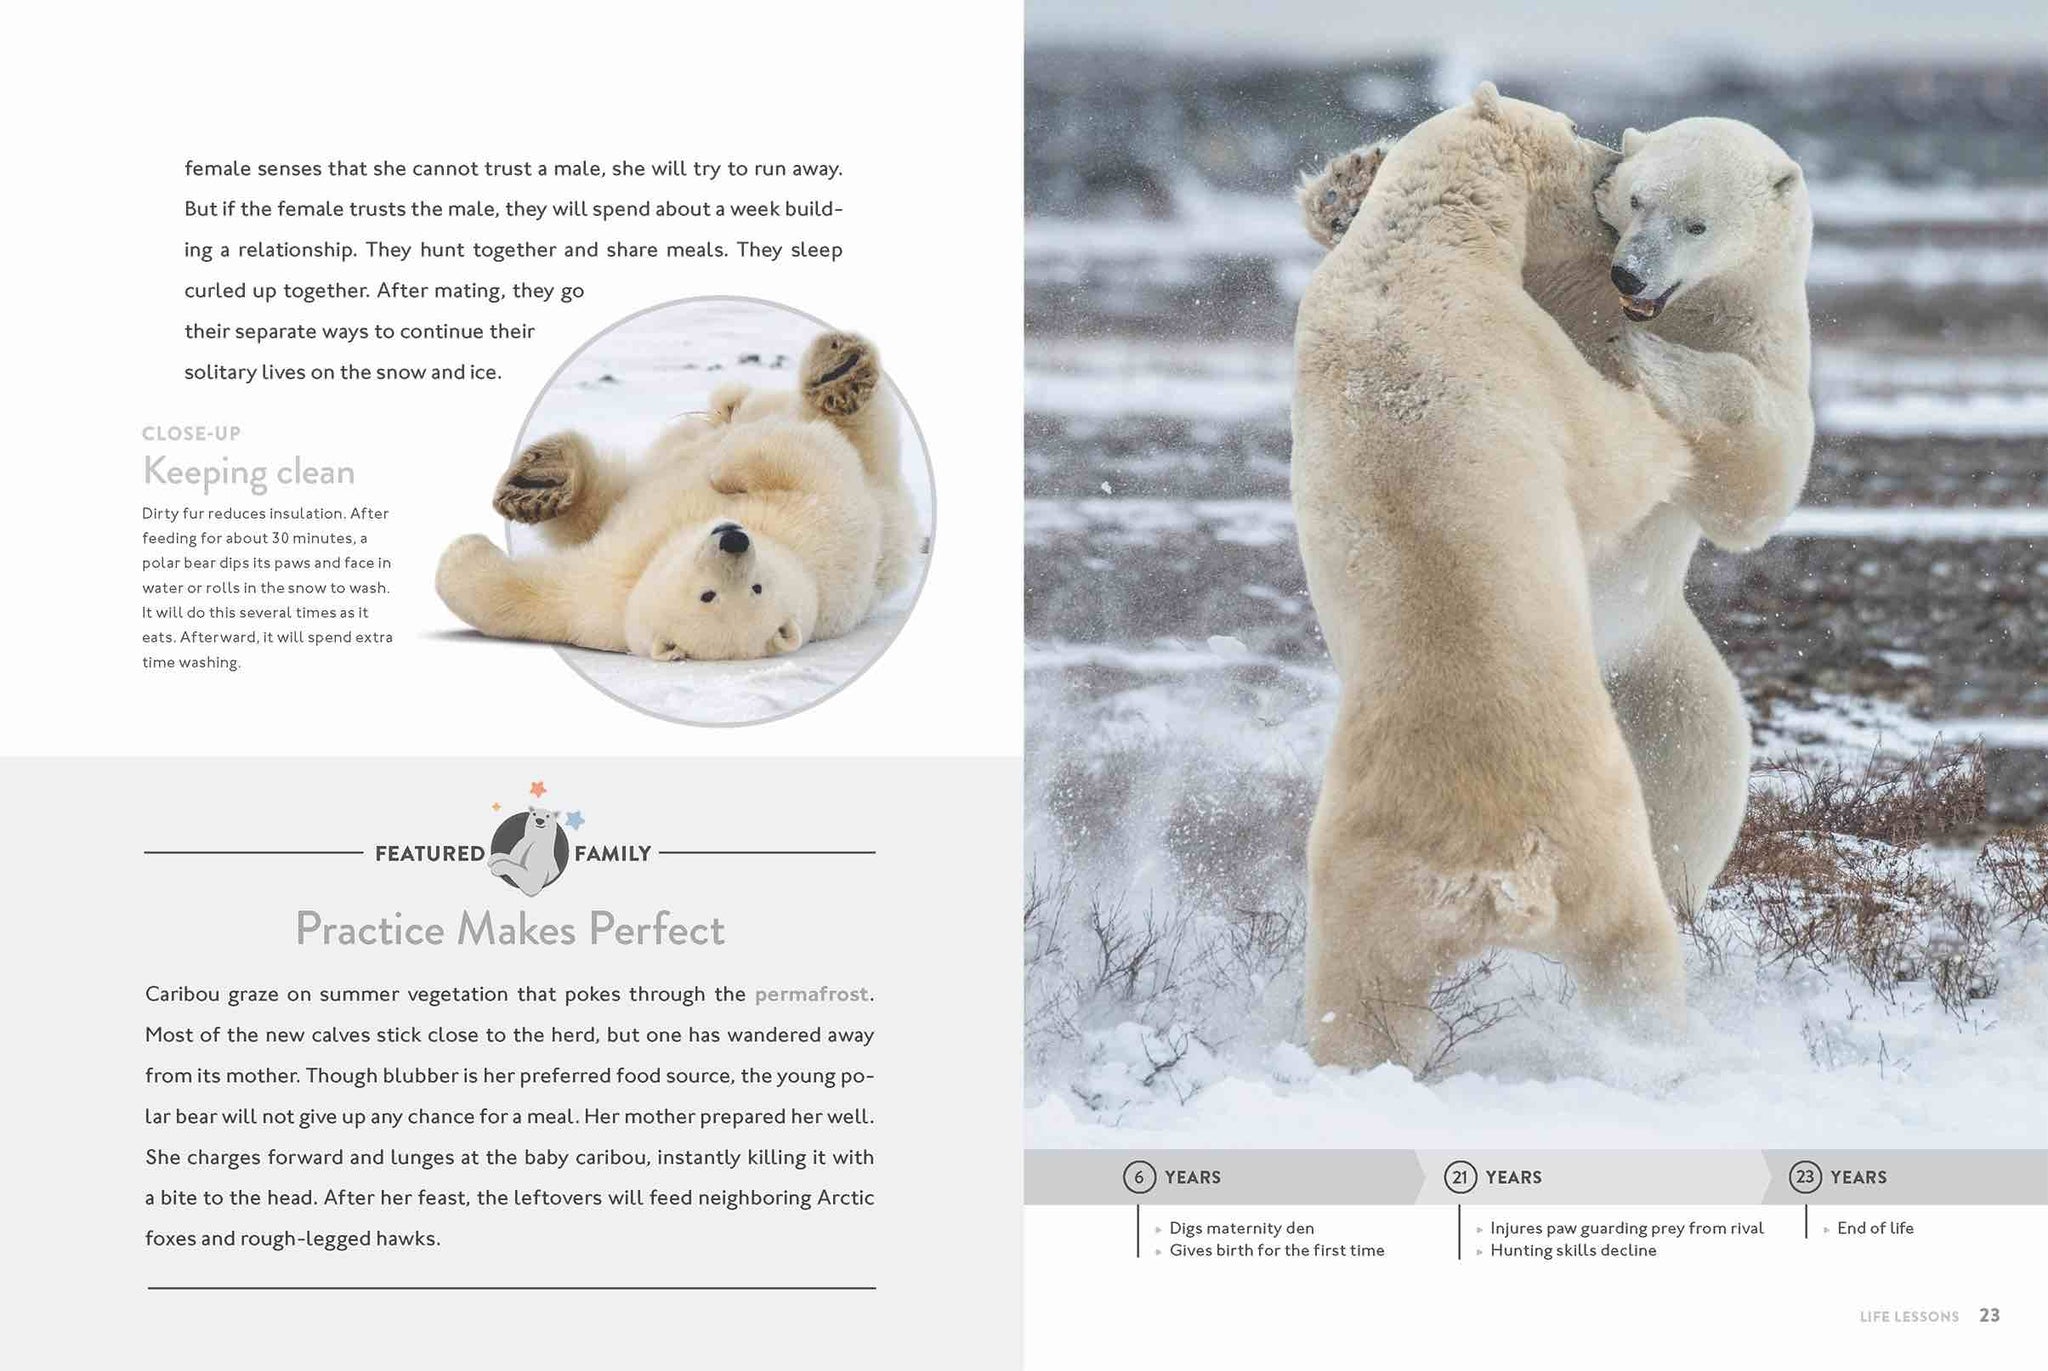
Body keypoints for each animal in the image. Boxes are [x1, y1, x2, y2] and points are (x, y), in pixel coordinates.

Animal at [436, 330, 920, 662]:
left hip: (883, 489)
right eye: (708, 595)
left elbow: (811, 464)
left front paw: (726, 465)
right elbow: (539, 598)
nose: (734, 538)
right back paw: (540, 482)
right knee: (609, 493)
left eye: (756, 588)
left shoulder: (826, 535)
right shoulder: (607, 595)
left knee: (859, 434)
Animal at [1292, 84, 1707, 1071]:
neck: (1416, 246)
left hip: (1363, 883)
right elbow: (1605, 458)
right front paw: (1668, 422)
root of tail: (1492, 877)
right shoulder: (1517, 345)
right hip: (1603, 838)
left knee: (1357, 1001)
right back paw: (1668, 1051)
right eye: (1574, 131)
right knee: (1636, 953)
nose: (1612, 159)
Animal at [1297, 114, 1814, 919]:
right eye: (1637, 199)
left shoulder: (1766, 337)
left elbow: (1757, 487)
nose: (1631, 275)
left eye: (1696, 222)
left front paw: (1652, 363)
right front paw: (1351, 189)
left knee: (1700, 765)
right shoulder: (1566, 282)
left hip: (1653, 671)